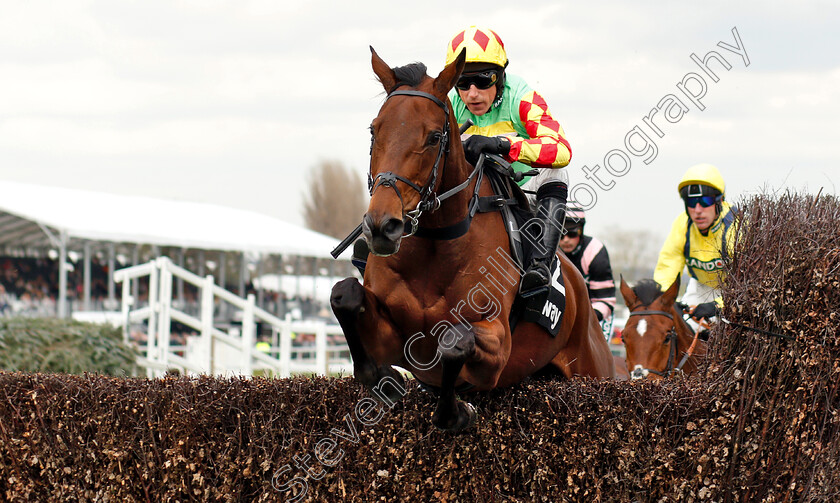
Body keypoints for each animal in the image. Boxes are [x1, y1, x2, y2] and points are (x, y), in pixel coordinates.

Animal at [332, 48, 612, 434]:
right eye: (374, 130)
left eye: (434, 137)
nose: (381, 226)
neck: (434, 250)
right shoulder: (396, 338)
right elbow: (344, 294)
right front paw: (380, 377)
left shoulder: (497, 347)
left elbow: (454, 340)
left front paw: (456, 412)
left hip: (592, 367)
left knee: (554, 164)